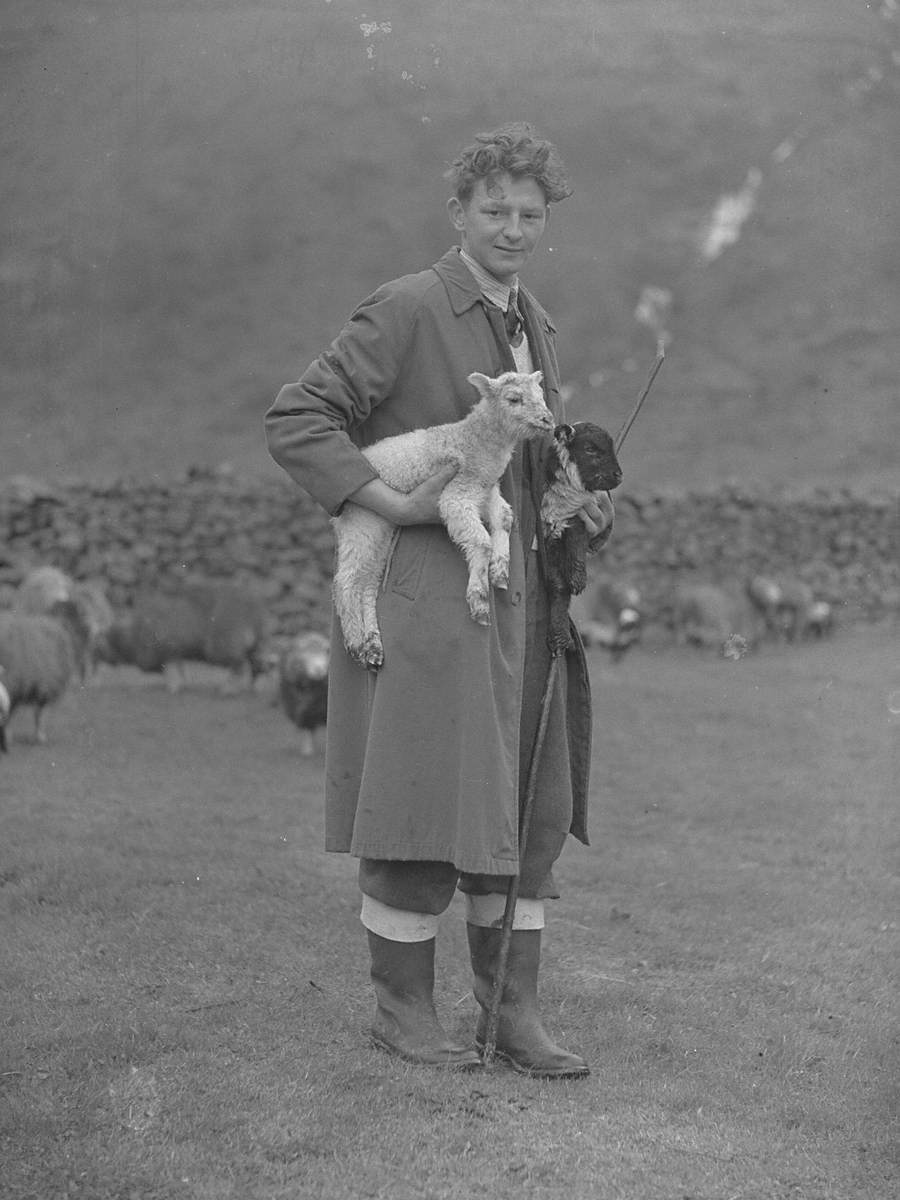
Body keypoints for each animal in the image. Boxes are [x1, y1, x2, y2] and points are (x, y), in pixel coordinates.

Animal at [333, 369, 554, 672]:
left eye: (540, 395)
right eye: (513, 398)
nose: (548, 420)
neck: (474, 440)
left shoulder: (484, 490)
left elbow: (505, 518)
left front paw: (499, 570)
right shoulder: (456, 495)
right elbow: (480, 541)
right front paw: (479, 598)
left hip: (382, 529)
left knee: (366, 584)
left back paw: (373, 647)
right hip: (362, 521)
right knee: (345, 581)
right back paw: (356, 641)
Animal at [540, 417, 624, 652]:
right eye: (590, 449)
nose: (619, 476)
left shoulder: (576, 519)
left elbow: (577, 549)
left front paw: (578, 581)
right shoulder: (549, 536)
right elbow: (558, 586)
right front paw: (558, 636)